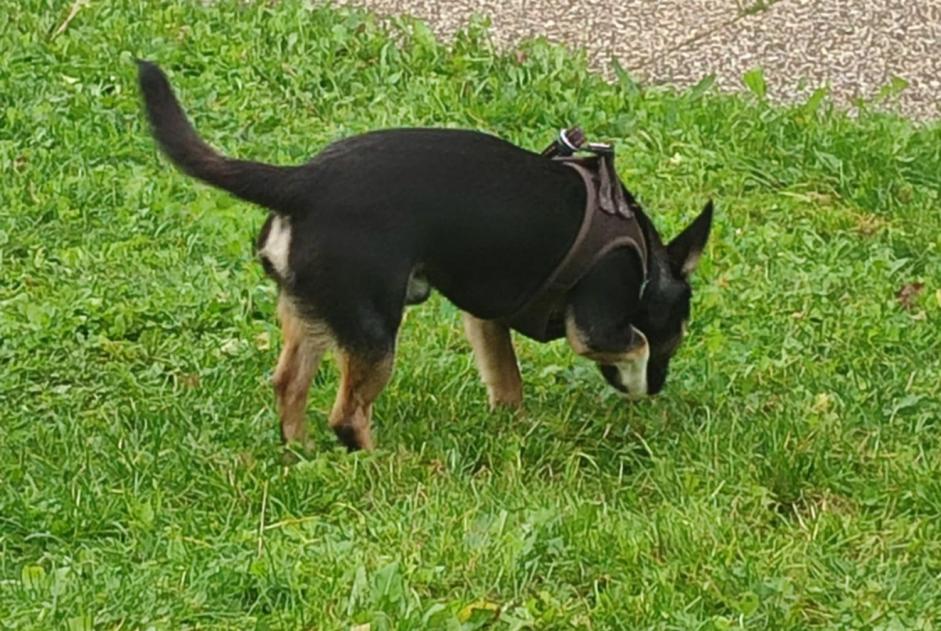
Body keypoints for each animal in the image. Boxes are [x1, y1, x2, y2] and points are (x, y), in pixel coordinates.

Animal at [138, 60, 712, 454]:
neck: (645, 260)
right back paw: (381, 462)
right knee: (347, 415)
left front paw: (513, 429)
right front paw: (636, 380)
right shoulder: (595, 327)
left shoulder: (484, 318)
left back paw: (301, 452)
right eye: (676, 339)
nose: (658, 388)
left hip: (316, 313)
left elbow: (506, 382)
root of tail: (302, 181)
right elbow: (634, 344)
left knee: (289, 385)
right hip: (373, 329)